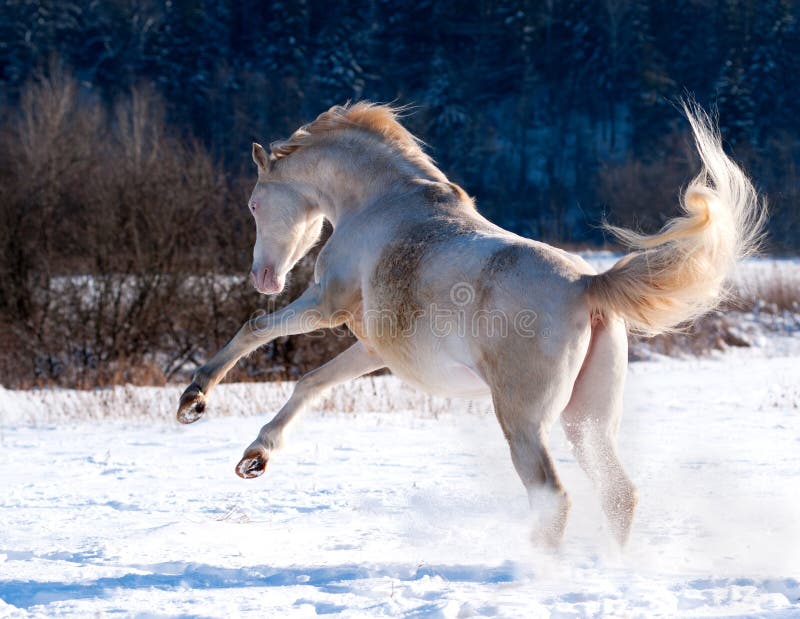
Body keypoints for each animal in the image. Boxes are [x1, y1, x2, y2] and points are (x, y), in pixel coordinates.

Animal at [178, 101, 764, 548]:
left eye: (255, 202)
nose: (263, 277)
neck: (380, 203)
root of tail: (586, 286)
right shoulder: (374, 349)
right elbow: (311, 383)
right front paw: (256, 458)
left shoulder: (327, 303)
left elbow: (257, 329)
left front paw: (193, 400)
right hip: (587, 422)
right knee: (618, 494)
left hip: (523, 419)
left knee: (553, 497)